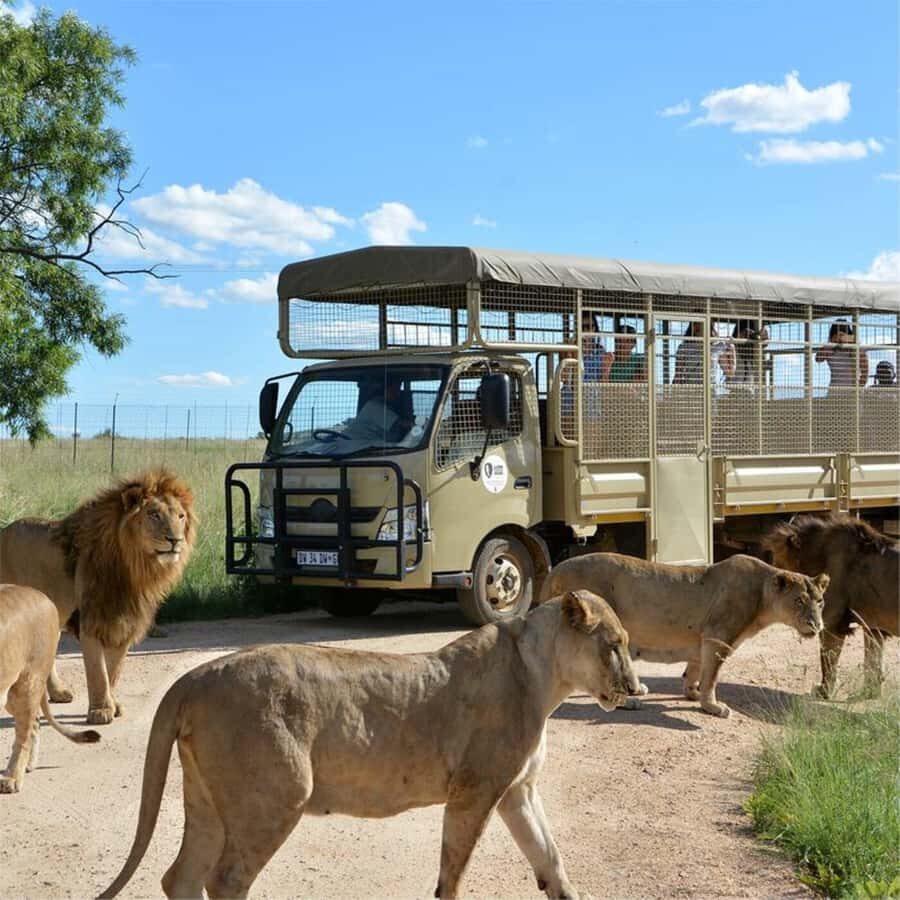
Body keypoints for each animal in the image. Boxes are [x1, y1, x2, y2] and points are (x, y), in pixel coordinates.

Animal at [0, 468, 196, 726]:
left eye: (181, 516)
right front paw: (101, 711)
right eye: (154, 514)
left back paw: (57, 693)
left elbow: (113, 671)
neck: (135, 569)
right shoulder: (91, 620)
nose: (175, 540)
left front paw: (113, 705)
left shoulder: (125, 622)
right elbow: (97, 671)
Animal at [1, 584, 100, 793]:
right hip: (12, 693)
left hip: (27, 684)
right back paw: (28, 766)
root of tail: (42, 596)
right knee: (35, 722)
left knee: (25, 733)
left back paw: (13, 778)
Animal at [100, 591, 639, 900]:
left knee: (182, 878)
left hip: (207, 799)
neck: (544, 676)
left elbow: (550, 858)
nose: (635, 688)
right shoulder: (475, 790)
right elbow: (453, 873)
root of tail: (193, 677)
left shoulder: (517, 790)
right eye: (615, 644)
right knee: (224, 880)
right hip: (276, 796)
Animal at [540, 553, 829, 718]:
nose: (817, 626)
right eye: (799, 601)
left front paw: (692, 693)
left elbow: (695, 669)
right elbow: (712, 677)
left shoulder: (703, 639)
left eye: (820, 601)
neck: (762, 596)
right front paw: (712, 706)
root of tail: (554, 571)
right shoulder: (718, 637)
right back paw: (630, 702)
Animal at [763, 515, 898, 699]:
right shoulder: (873, 627)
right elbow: (873, 662)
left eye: (777, 563)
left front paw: (824, 692)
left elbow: (828, 660)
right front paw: (870, 694)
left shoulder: (831, 622)